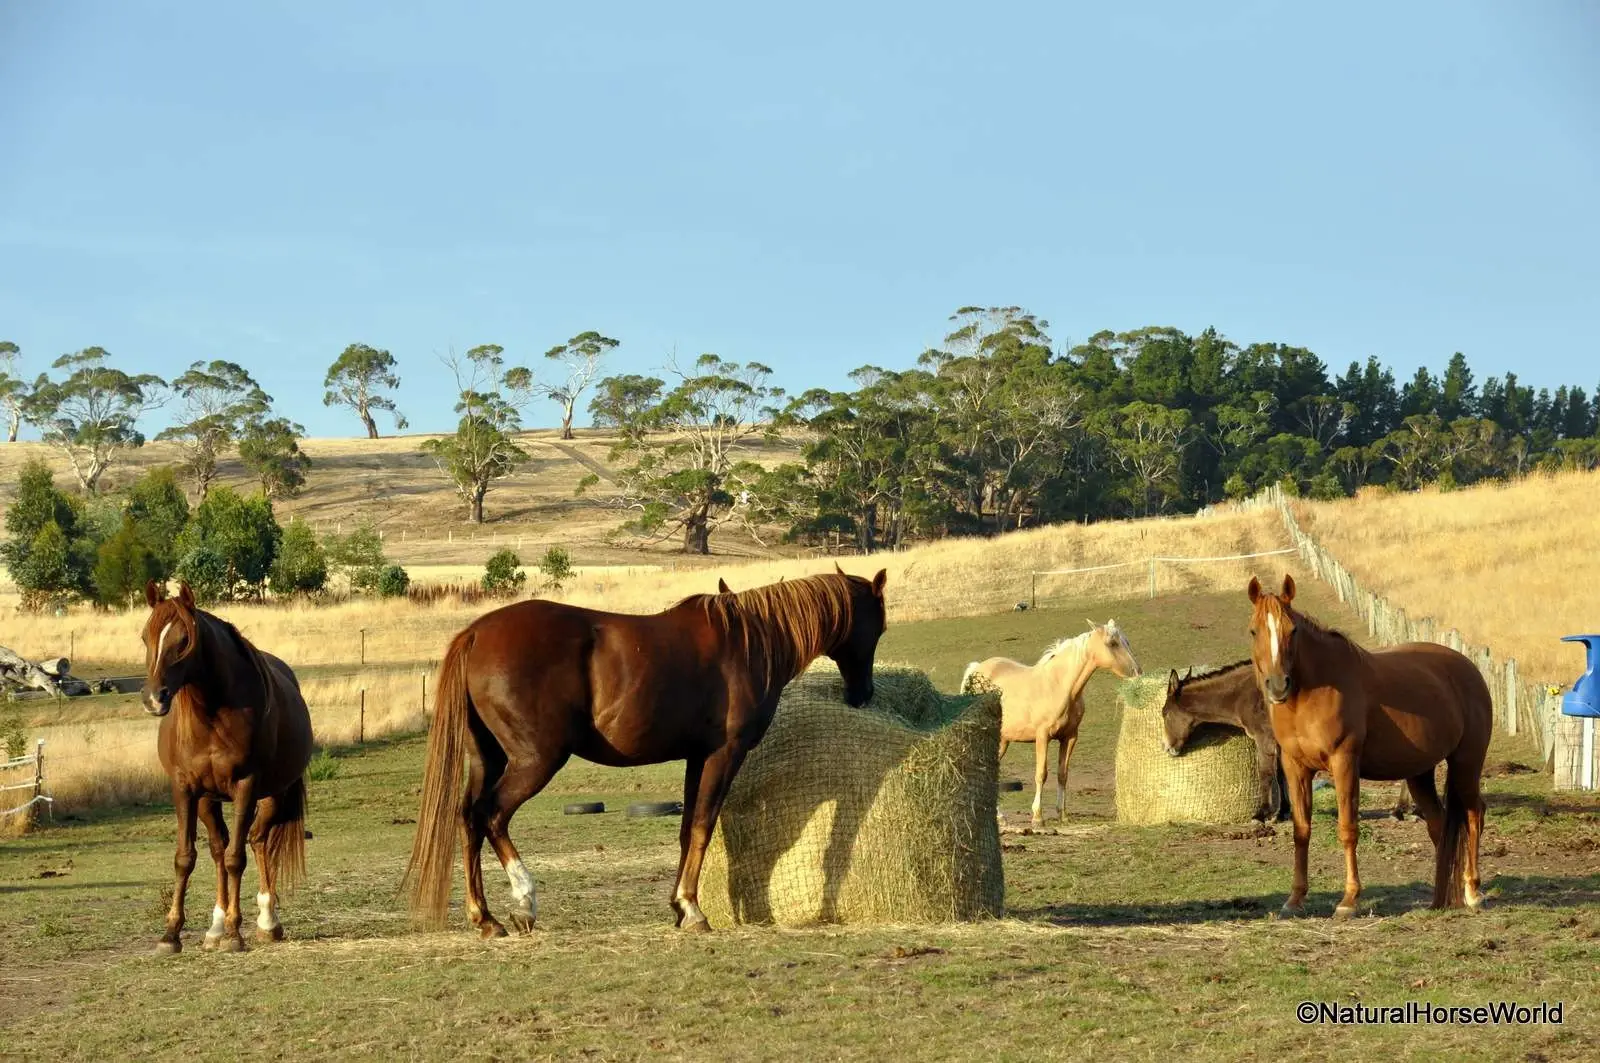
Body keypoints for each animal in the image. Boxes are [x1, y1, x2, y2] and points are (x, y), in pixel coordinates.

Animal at [140, 580, 313, 955]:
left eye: (183, 640)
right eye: (145, 637)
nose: (153, 699)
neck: (210, 717)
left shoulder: (246, 785)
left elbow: (237, 858)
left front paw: (236, 933)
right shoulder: (184, 789)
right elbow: (186, 857)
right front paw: (171, 934)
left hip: (273, 795)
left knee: (257, 841)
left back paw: (266, 921)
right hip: (209, 800)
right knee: (220, 848)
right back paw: (215, 927)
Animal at [404, 565, 889, 937]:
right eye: (879, 626)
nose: (863, 694)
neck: (750, 641)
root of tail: (476, 633)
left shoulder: (696, 757)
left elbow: (687, 829)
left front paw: (678, 906)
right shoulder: (723, 755)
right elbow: (703, 827)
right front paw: (692, 909)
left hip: (488, 760)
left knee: (469, 819)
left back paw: (485, 918)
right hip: (535, 761)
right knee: (492, 816)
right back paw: (524, 902)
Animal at [961, 620, 1141, 826]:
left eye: (1127, 641)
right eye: (1112, 643)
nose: (1137, 672)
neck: (1059, 686)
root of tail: (975, 671)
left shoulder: (1070, 737)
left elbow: (1062, 775)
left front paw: (1062, 814)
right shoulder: (1042, 736)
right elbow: (1041, 774)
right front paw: (1037, 817)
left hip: (1001, 741)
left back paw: (999, 817)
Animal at [1160, 662, 1416, 824]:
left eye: (1164, 713)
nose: (1168, 748)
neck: (1245, 694)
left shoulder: (1263, 738)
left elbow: (1265, 773)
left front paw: (1261, 814)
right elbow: (1282, 774)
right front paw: (1283, 811)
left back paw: (1402, 810)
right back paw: (1406, 810)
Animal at [1247, 574, 1492, 918]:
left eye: (1291, 630)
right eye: (1254, 630)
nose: (1278, 686)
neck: (1311, 693)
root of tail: (1468, 669)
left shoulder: (1344, 763)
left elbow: (1347, 828)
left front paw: (1349, 900)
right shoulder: (1295, 768)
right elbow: (1301, 830)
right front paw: (1295, 900)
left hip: (1466, 764)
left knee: (1473, 814)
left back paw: (1472, 891)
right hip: (1419, 774)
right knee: (1439, 824)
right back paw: (1439, 896)